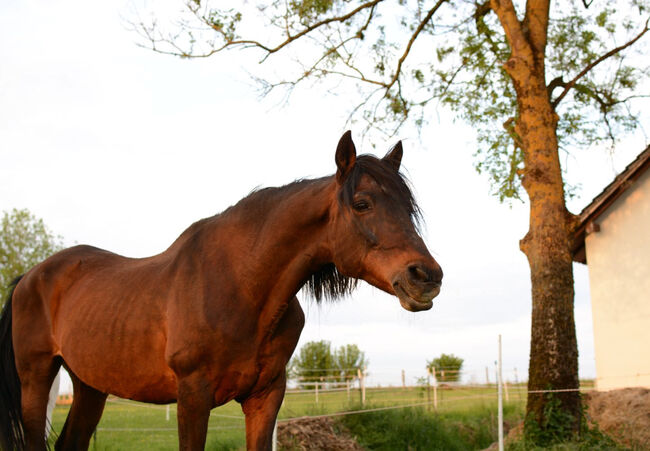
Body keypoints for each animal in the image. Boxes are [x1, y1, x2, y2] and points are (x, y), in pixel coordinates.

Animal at [0, 132, 440, 451]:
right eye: (362, 204)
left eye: (408, 208)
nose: (427, 276)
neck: (241, 287)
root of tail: (28, 277)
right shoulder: (193, 397)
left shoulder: (265, 397)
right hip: (36, 378)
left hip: (90, 386)